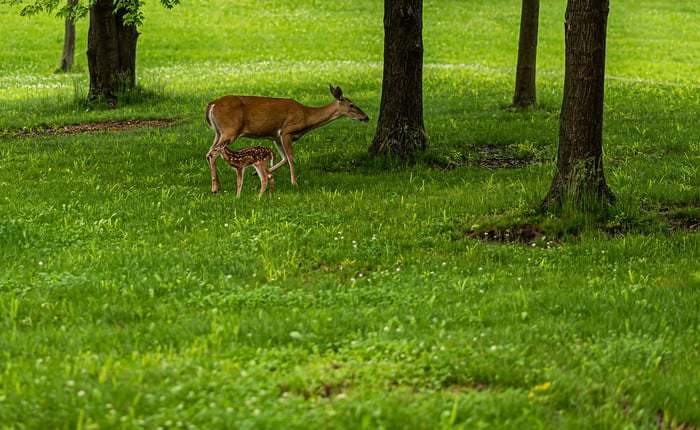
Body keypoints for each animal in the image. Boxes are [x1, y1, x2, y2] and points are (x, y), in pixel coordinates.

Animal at [205, 84, 369, 193]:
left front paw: (259, 173)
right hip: (230, 130)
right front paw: (294, 183)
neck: (306, 117)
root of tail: (211, 105)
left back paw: (217, 185)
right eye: (352, 105)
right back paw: (214, 188)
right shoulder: (286, 131)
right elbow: (291, 157)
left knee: (209, 153)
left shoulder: (276, 136)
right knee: (212, 153)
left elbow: (283, 158)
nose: (366, 117)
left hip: (219, 132)